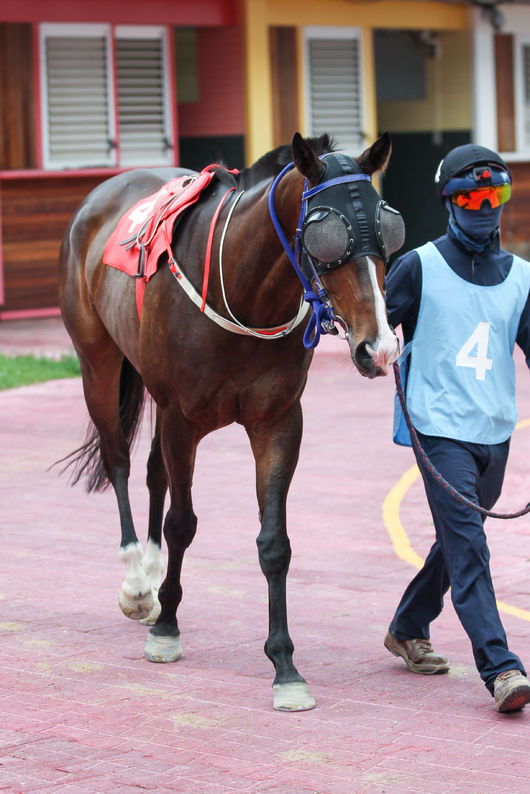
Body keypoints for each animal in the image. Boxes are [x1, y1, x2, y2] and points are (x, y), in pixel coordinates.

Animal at [57, 131, 400, 712]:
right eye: (326, 236)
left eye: (386, 229)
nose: (379, 348)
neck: (243, 290)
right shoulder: (181, 418)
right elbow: (183, 522)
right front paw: (167, 630)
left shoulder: (277, 422)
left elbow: (274, 543)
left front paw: (285, 664)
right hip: (98, 363)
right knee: (119, 459)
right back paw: (137, 581)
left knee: (153, 472)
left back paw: (152, 576)